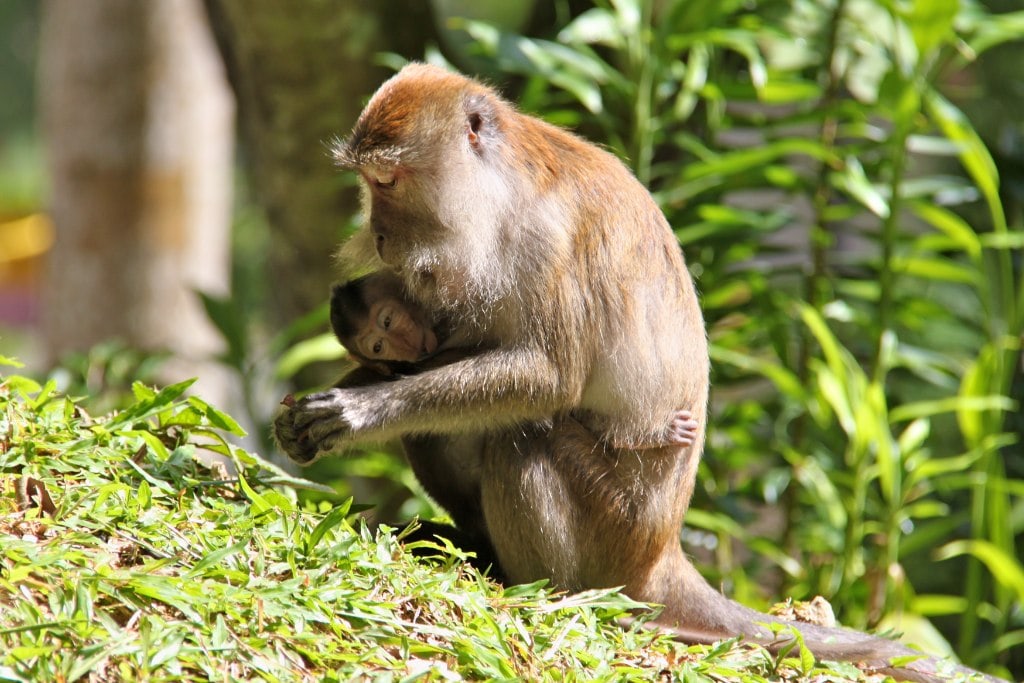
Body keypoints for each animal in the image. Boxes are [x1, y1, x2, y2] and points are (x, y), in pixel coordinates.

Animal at [274, 64, 1000, 682]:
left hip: (612, 527)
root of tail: (661, 550)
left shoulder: (546, 239)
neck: (500, 192)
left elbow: (547, 377)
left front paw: (360, 412)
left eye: (386, 182)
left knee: (524, 434)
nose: (380, 235)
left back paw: (540, 587)